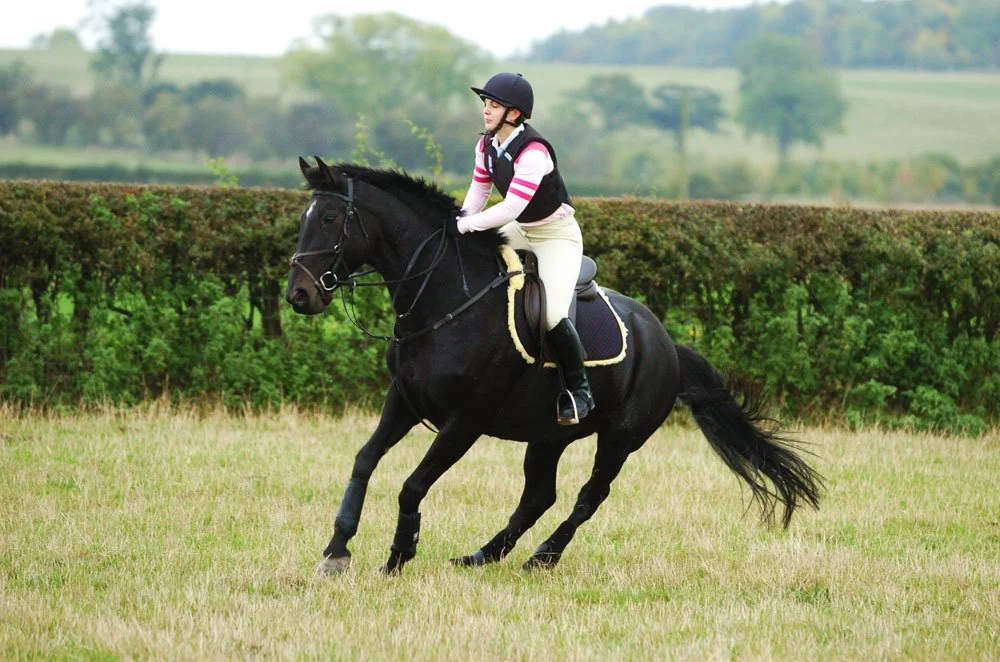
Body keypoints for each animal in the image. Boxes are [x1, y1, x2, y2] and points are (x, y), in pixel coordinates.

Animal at [285, 156, 824, 576]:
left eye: (330, 217)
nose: (299, 295)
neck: (445, 300)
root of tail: (667, 342)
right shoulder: (403, 400)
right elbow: (364, 461)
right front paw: (337, 551)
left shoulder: (465, 422)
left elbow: (411, 485)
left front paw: (399, 554)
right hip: (548, 435)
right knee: (539, 495)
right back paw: (483, 555)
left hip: (620, 438)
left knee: (589, 495)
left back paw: (542, 556)